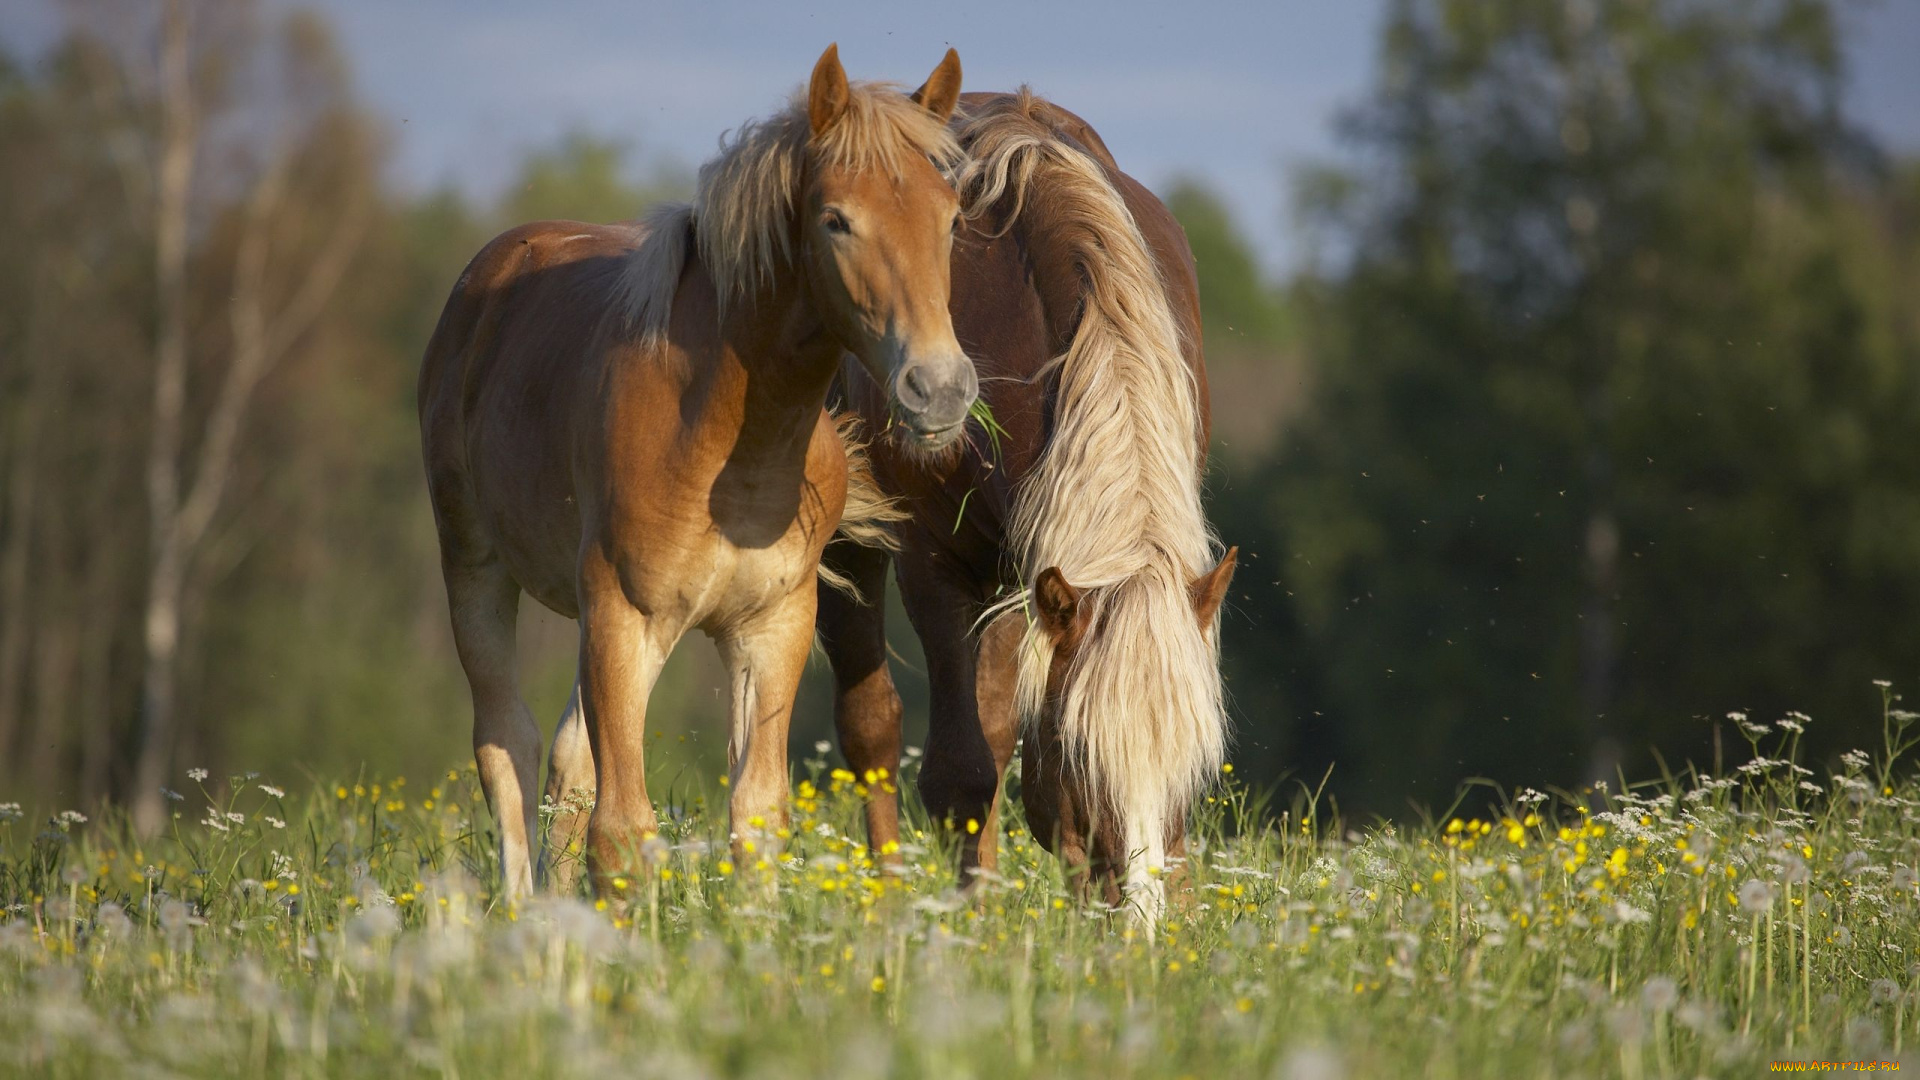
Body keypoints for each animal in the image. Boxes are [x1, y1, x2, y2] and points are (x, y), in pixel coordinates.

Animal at [412, 46, 967, 895]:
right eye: (836, 220)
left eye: (951, 218)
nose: (938, 387)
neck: (726, 443)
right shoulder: (624, 614)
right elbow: (622, 830)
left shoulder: (770, 628)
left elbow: (756, 814)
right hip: (479, 569)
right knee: (508, 747)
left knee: (566, 763)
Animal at [817, 90, 1236, 914]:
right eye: (1080, 752)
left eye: (1196, 764)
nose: (1139, 922)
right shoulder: (937, 565)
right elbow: (960, 773)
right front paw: (972, 922)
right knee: (872, 724)